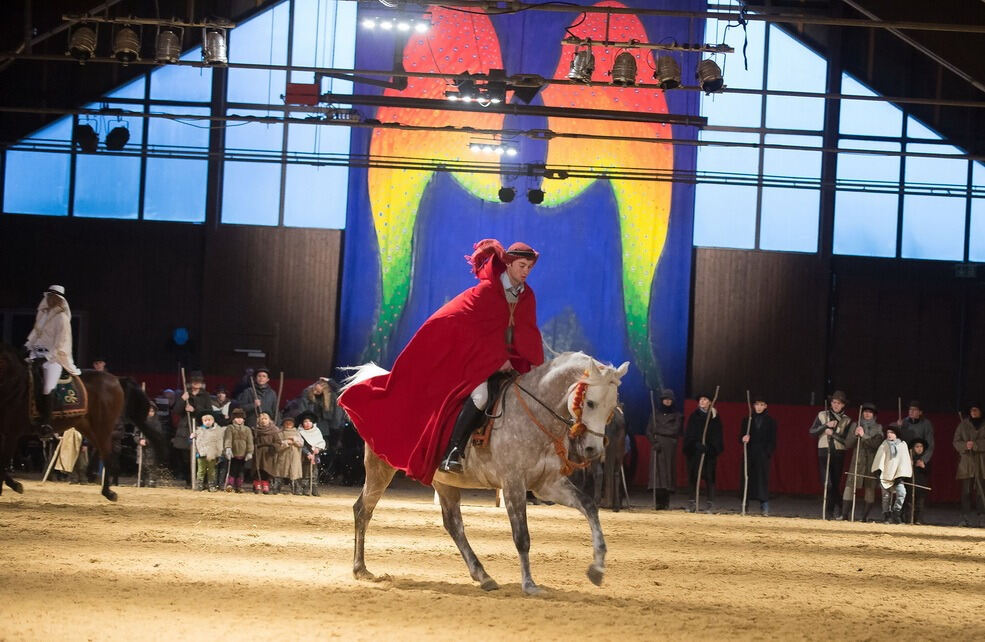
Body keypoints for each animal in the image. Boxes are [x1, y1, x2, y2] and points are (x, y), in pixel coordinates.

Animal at [0, 340, 166, 500]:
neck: (15, 384)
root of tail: (116, 379)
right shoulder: (8, 434)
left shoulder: (12, 433)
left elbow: (4, 462)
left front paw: (13, 485)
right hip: (87, 427)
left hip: (102, 426)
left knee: (107, 454)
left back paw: (107, 491)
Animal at [342, 352, 628, 592]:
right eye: (590, 403)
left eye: (611, 408)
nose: (592, 449)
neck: (535, 413)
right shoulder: (513, 484)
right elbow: (522, 536)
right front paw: (529, 584)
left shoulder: (548, 484)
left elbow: (589, 506)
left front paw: (597, 568)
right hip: (381, 468)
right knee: (363, 510)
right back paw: (360, 568)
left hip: (443, 481)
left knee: (453, 524)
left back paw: (482, 575)